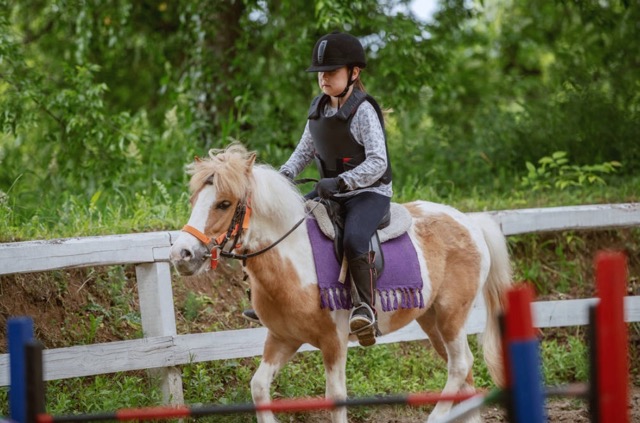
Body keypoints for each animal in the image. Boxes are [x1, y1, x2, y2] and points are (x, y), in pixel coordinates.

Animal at [169, 144, 510, 422]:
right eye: (194, 199)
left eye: (224, 204)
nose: (181, 254)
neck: (295, 259)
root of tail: (469, 222)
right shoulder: (282, 338)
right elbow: (259, 388)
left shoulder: (334, 341)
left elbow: (335, 398)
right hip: (431, 319)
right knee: (464, 373)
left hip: (452, 315)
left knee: (460, 366)